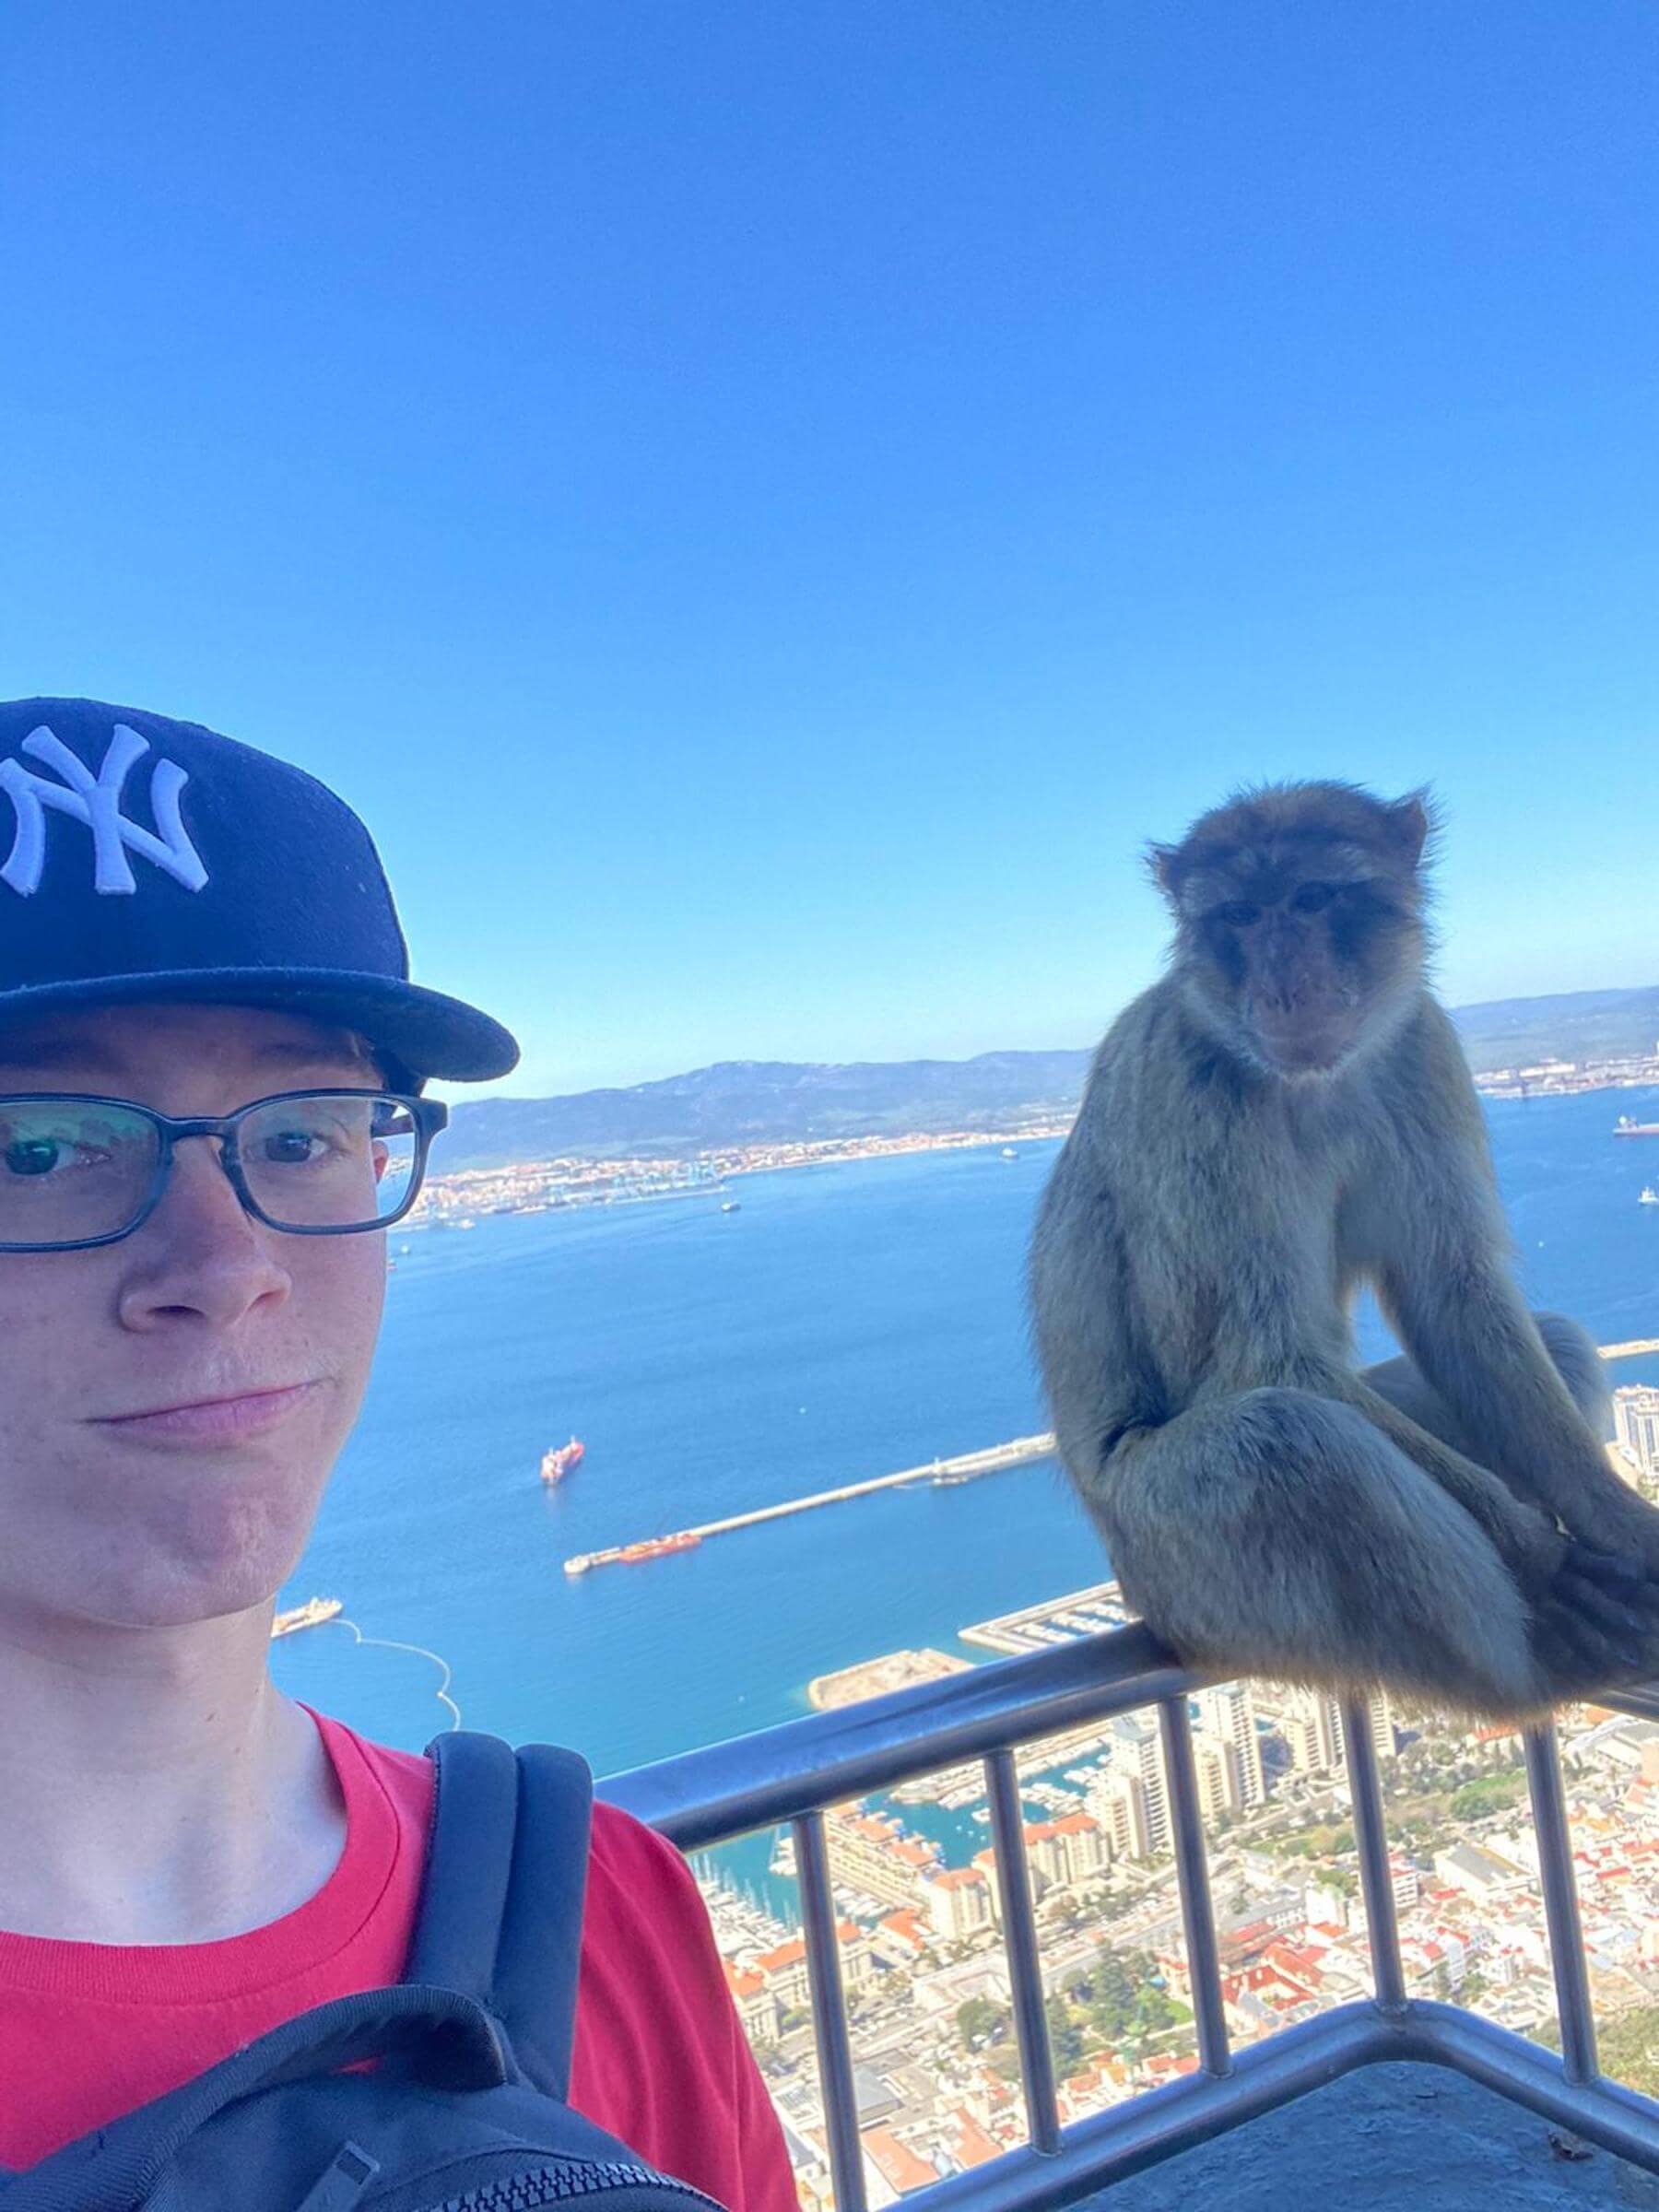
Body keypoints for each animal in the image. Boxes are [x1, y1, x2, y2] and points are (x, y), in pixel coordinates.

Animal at [1026, 782, 1659, 1725]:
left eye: (1314, 898)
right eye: (1242, 916)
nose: (1285, 985)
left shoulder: (1423, 1048)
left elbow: (1460, 1302)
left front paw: (1624, 1524)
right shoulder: (1189, 1089)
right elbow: (1266, 1362)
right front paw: (1539, 1554)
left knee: (1557, 1344)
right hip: (1183, 1571)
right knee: (1289, 1445)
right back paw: (1542, 1665)